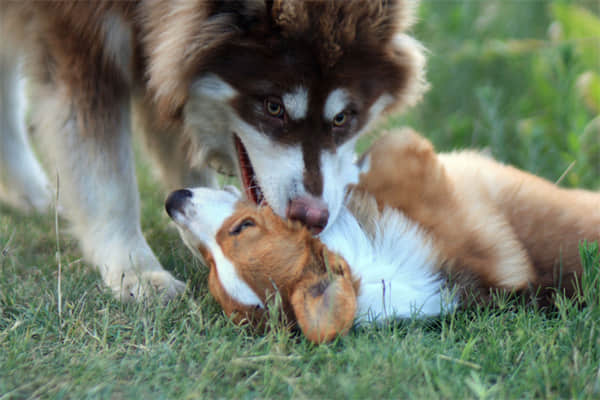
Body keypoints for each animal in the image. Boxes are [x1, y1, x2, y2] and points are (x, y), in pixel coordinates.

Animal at [0, 0, 426, 300]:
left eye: (342, 118)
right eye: (273, 107)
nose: (312, 217)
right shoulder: (80, 40)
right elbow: (106, 178)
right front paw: (134, 268)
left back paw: (30, 194)